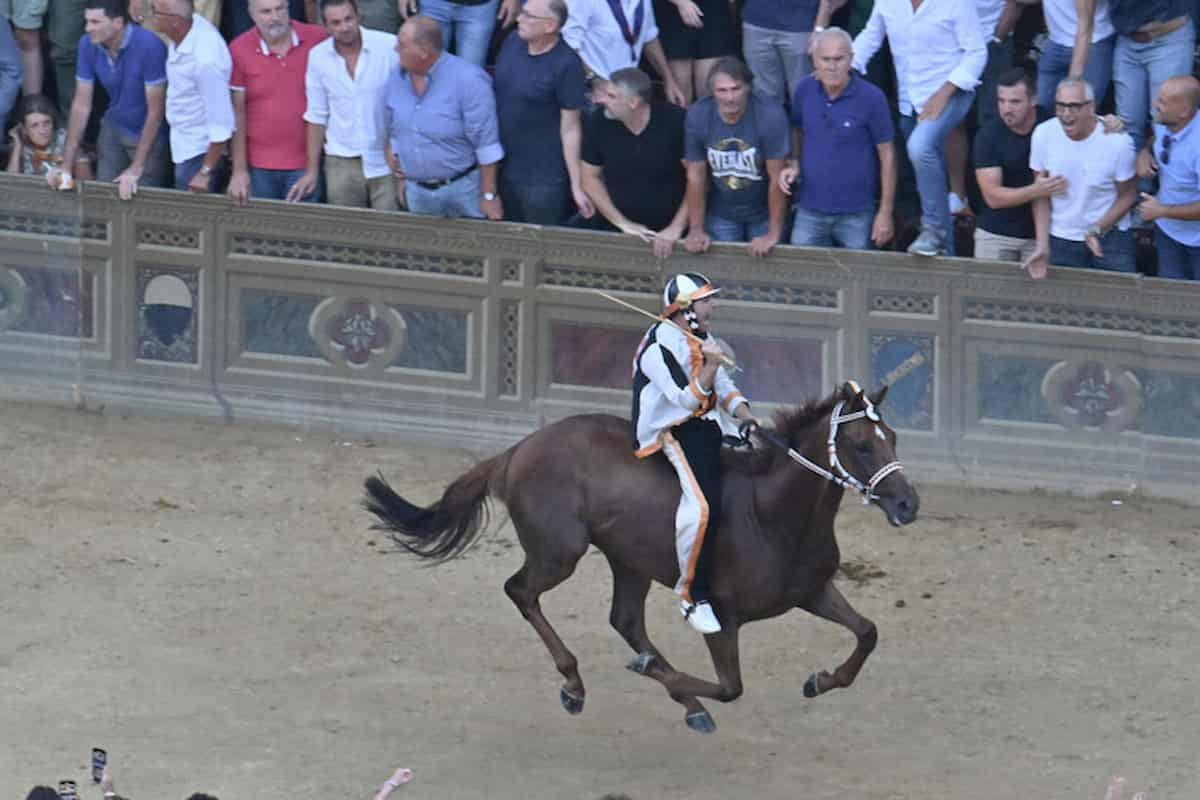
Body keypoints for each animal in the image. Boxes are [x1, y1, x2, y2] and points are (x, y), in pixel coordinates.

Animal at [362, 381, 916, 734]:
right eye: (861, 444)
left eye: (891, 437)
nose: (908, 503)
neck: (772, 514)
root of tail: (519, 448)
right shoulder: (722, 616)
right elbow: (730, 687)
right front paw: (657, 676)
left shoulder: (812, 590)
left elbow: (868, 633)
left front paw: (821, 680)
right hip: (560, 552)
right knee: (520, 591)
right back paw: (576, 683)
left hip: (628, 560)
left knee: (624, 618)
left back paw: (679, 700)